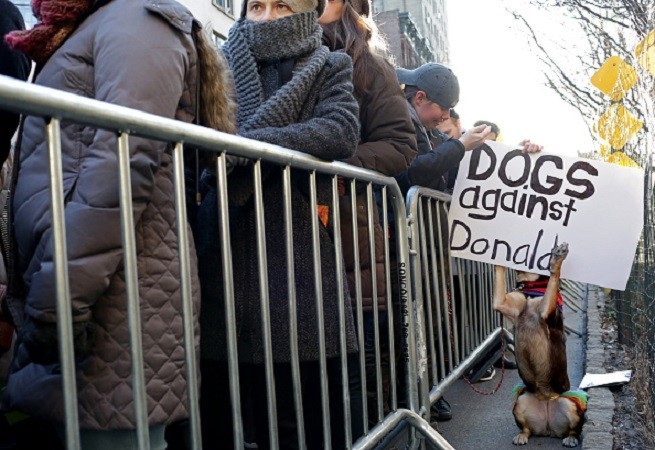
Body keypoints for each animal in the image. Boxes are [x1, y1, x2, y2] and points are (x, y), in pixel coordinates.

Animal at [493, 243, 586, 447]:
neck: (532, 287)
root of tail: (549, 429)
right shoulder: (502, 303)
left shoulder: (546, 310)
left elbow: (553, 278)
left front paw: (557, 260)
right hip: (521, 401)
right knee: (527, 428)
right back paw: (522, 435)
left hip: (568, 403)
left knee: (575, 429)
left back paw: (570, 438)